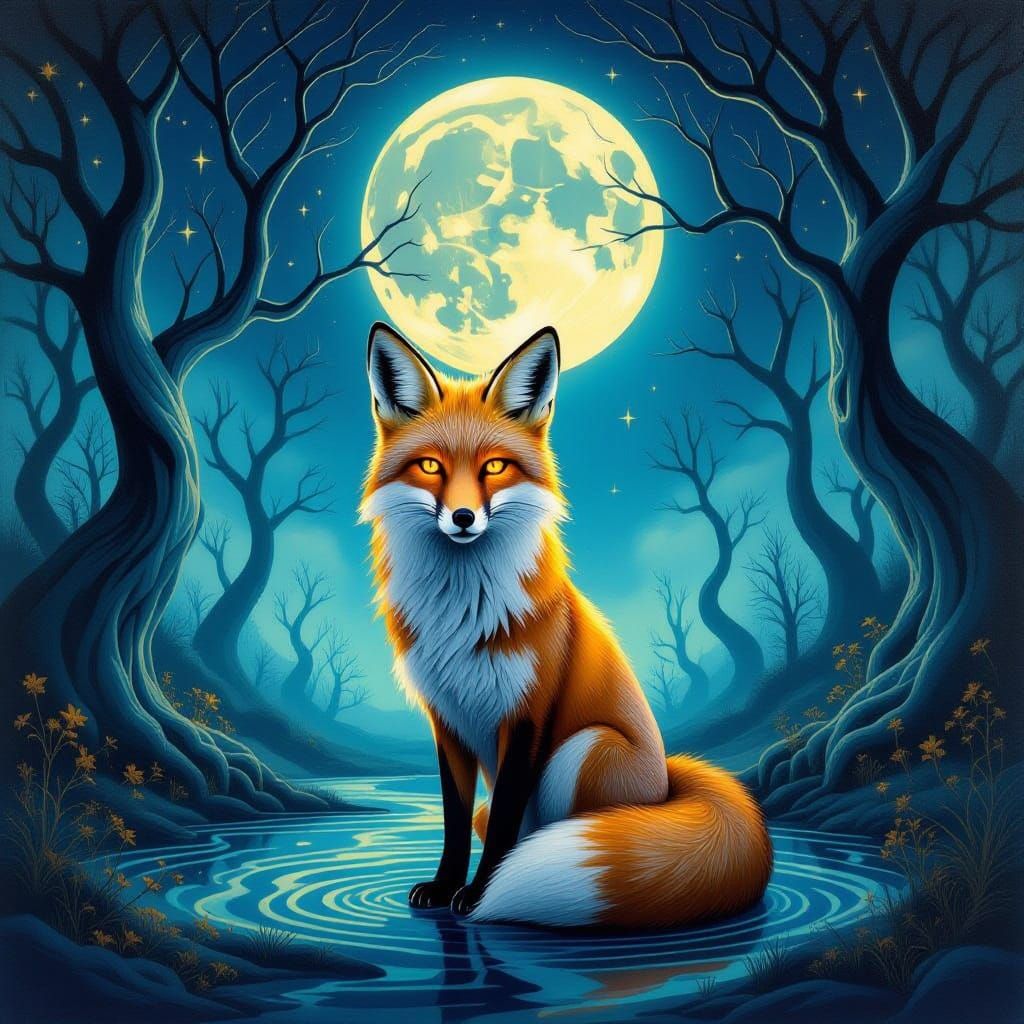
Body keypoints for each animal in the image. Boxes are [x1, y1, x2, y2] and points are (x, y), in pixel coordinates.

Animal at [359, 321, 773, 929]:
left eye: (495, 467)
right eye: (431, 466)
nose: (463, 518)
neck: (461, 614)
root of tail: (668, 783)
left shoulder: (527, 715)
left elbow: (504, 825)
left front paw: (479, 894)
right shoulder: (448, 721)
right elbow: (455, 820)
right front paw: (444, 885)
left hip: (583, 749)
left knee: (555, 829)